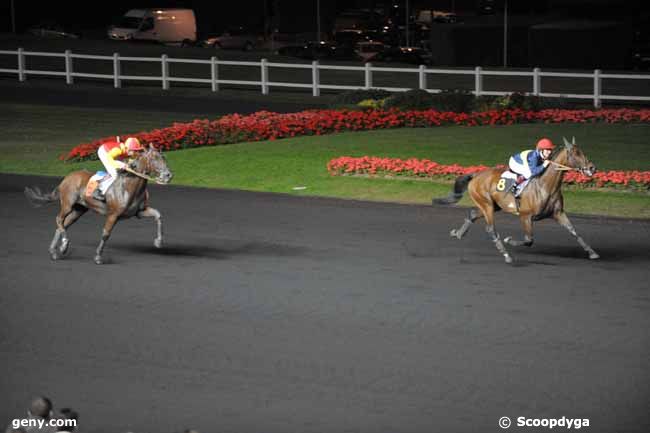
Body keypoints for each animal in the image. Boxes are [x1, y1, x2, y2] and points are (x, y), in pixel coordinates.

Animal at [24, 144, 172, 264]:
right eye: (154, 158)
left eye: (163, 157)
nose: (168, 175)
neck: (128, 186)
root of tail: (66, 178)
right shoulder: (113, 215)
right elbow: (106, 234)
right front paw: (98, 257)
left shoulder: (139, 212)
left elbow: (158, 215)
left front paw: (158, 241)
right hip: (67, 205)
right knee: (59, 219)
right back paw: (64, 245)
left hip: (79, 210)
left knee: (63, 224)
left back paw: (54, 251)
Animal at [432, 137, 600, 262]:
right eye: (576, 154)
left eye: (582, 152)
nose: (592, 168)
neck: (545, 186)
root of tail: (475, 175)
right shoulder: (525, 215)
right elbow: (529, 240)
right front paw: (509, 240)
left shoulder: (558, 213)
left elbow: (574, 232)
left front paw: (592, 252)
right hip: (486, 205)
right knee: (490, 229)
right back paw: (506, 255)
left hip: (492, 206)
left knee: (473, 214)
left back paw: (458, 233)